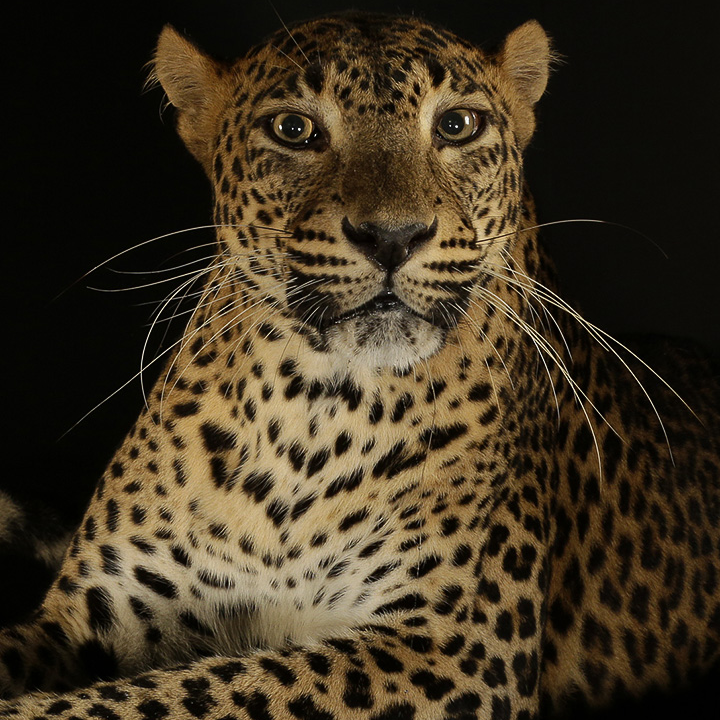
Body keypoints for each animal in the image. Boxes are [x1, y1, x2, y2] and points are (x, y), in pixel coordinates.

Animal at [0, 11, 718, 720]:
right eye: (294, 130)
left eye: (458, 125)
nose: (393, 236)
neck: (307, 410)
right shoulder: (89, 613)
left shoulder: (452, 646)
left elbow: (189, 691)